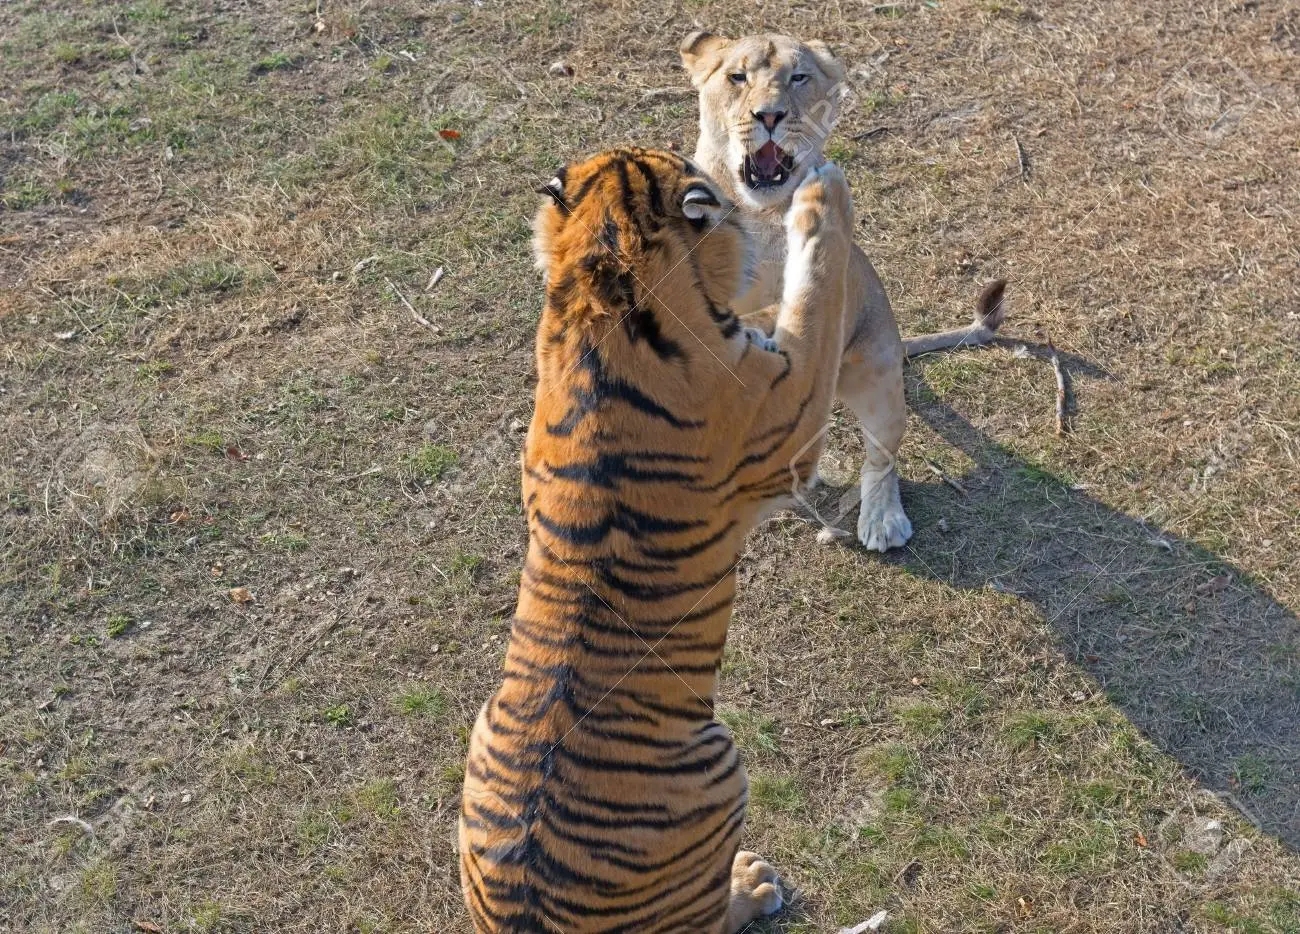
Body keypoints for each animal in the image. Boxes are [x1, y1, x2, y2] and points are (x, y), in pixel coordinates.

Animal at [457, 147, 854, 932]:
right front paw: (822, 197)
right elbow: (815, 292)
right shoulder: (790, 406)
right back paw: (753, 884)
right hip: (723, 773)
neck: (604, 271)